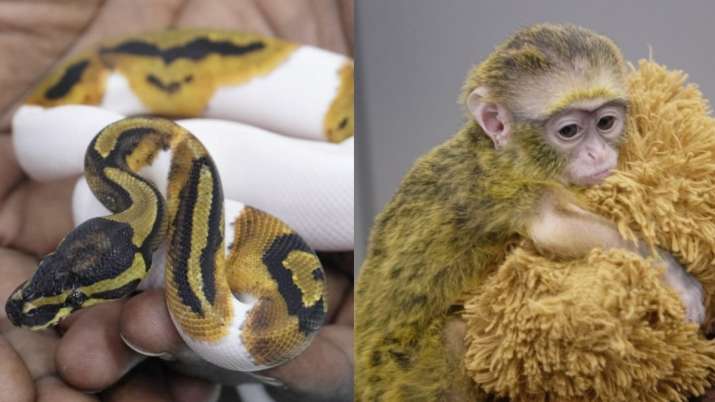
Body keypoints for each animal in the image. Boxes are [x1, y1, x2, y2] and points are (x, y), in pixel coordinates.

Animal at [355, 23, 705, 402]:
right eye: (570, 131)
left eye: (606, 122)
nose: (597, 154)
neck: (507, 154)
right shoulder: (501, 186)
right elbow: (553, 226)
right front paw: (677, 278)